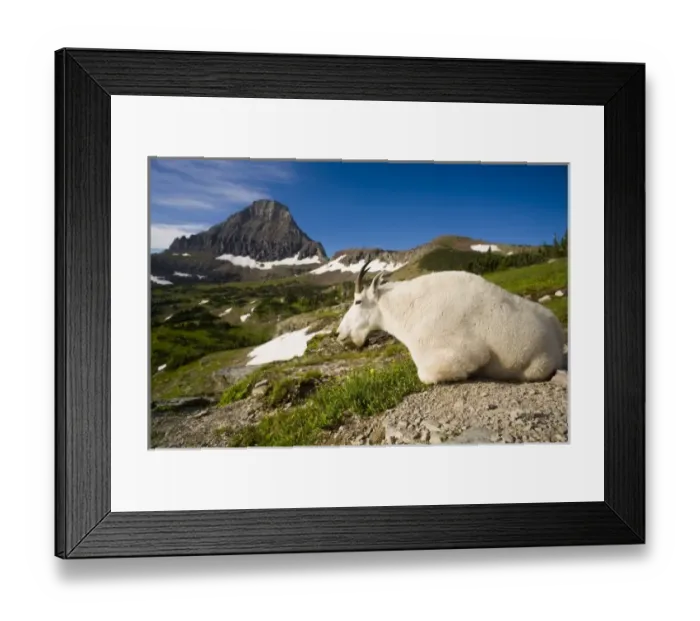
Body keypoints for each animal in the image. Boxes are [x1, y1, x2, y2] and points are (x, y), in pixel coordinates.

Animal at [336, 261, 567, 385]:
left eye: (357, 301)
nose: (339, 333)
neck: (408, 310)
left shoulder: (465, 352)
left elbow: (426, 375)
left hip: (536, 367)